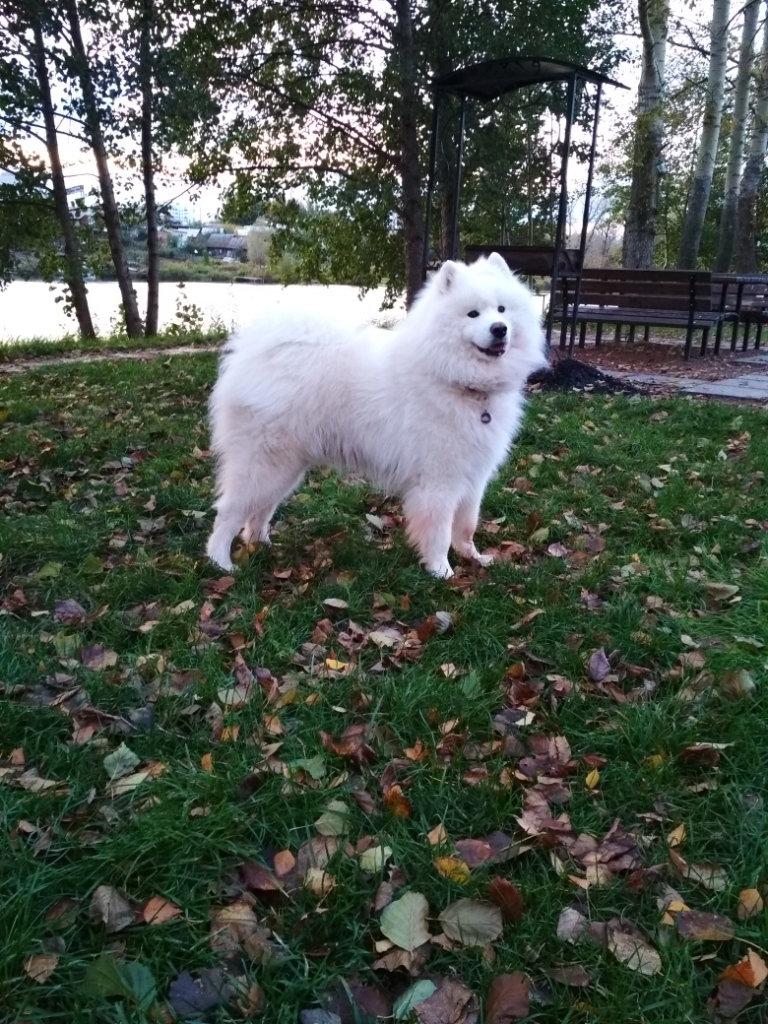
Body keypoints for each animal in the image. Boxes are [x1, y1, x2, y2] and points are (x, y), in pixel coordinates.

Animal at [207, 252, 548, 581]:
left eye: (501, 309)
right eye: (473, 314)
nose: (499, 328)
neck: (462, 382)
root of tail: (255, 352)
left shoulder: (473, 477)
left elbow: (466, 526)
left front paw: (473, 558)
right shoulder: (439, 481)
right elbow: (439, 531)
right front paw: (442, 571)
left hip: (286, 467)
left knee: (260, 510)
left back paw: (260, 544)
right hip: (263, 463)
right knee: (228, 512)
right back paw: (220, 563)